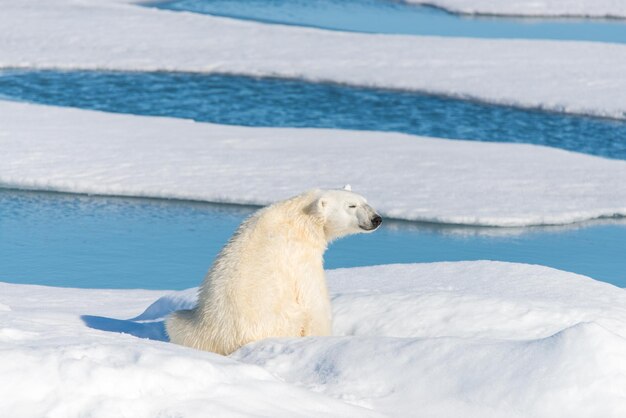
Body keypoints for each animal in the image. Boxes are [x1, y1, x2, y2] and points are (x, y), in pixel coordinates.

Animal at [165, 188, 380, 354]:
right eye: (351, 206)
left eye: (366, 201)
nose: (376, 219)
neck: (301, 218)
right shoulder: (300, 257)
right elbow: (314, 301)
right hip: (284, 320)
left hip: (194, 328)